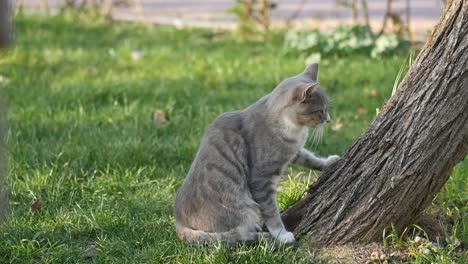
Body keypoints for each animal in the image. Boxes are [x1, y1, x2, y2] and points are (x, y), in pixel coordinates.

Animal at [176, 63, 340, 245]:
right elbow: (271, 210)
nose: (328, 120)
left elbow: (308, 157)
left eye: (326, 109)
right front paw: (281, 234)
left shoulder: (293, 151)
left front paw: (329, 162)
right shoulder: (261, 179)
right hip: (241, 207)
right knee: (237, 233)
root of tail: (179, 221)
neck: (294, 130)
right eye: (321, 110)